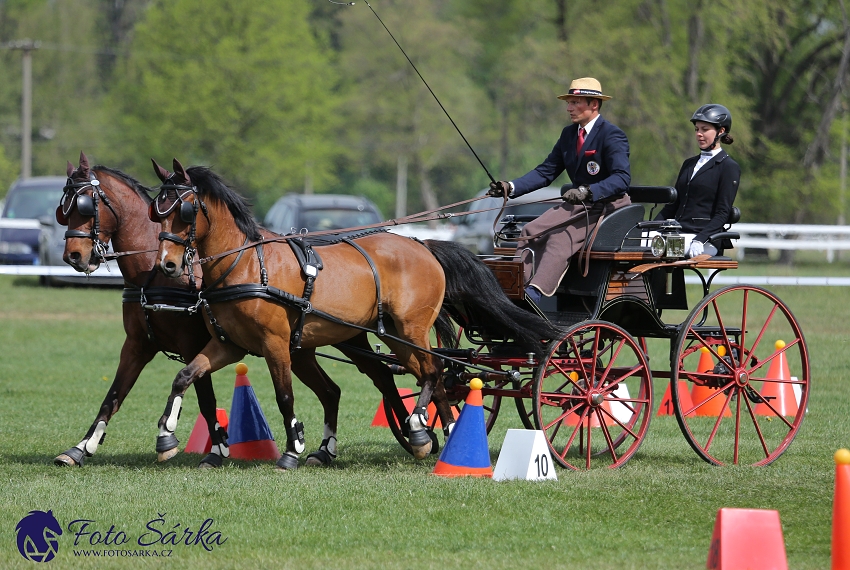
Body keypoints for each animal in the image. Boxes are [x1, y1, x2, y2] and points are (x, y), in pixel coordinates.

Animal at [150, 156, 556, 466]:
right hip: (383, 336)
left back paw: (419, 426)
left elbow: (284, 396)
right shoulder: (229, 345)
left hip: (409, 329)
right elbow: (184, 376)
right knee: (426, 375)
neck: (247, 264)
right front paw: (166, 436)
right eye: (157, 214)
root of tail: (421, 244)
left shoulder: (275, 344)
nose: (167, 265)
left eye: (185, 211)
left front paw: (292, 449)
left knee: (431, 371)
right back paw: (438, 435)